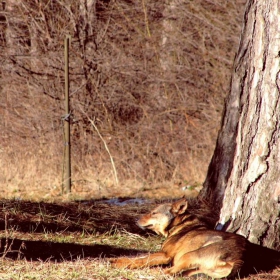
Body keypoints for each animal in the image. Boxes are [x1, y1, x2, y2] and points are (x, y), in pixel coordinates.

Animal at [110, 198, 247, 278]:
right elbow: (137, 257)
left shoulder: (165, 255)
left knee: (167, 272)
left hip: (189, 255)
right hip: (197, 269)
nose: (135, 220)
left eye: (153, 213)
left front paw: (121, 264)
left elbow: (142, 260)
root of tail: (240, 258)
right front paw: (117, 260)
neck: (178, 226)